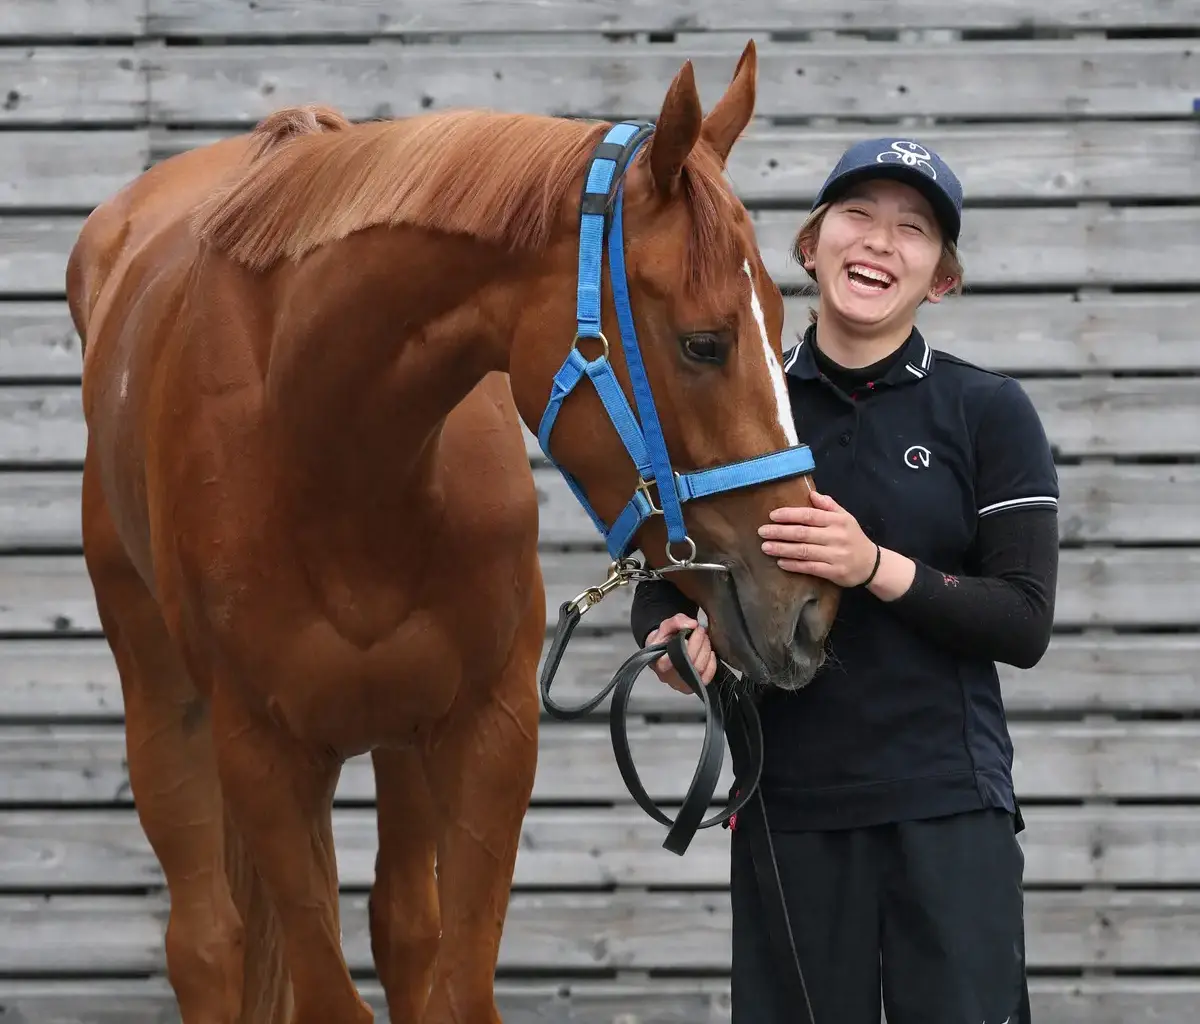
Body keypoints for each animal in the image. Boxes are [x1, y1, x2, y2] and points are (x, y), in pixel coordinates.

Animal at [66, 38, 840, 1024]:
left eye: (781, 321)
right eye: (705, 343)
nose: (809, 606)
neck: (329, 455)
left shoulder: (488, 731)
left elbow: (456, 981)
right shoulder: (264, 759)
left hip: (398, 737)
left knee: (401, 927)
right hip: (166, 705)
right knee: (205, 945)